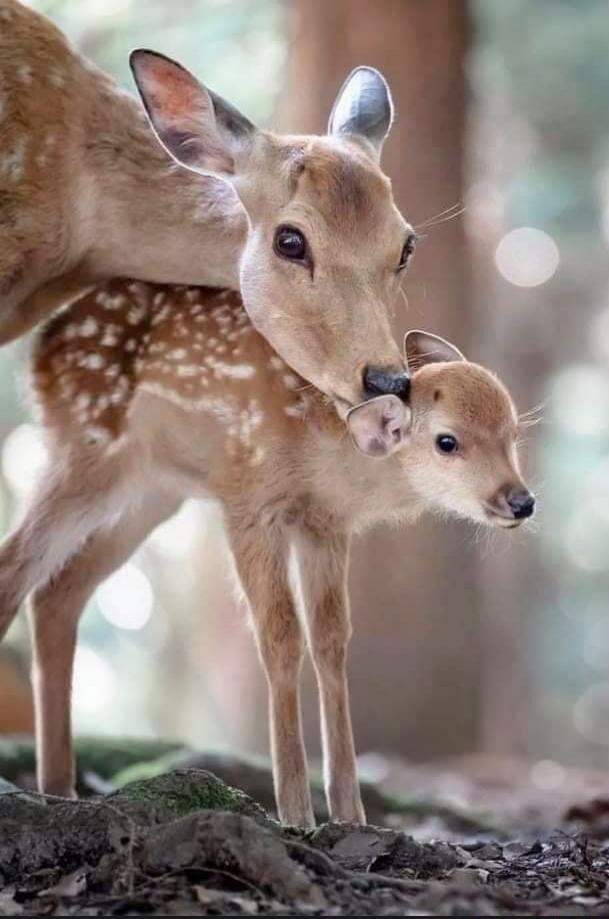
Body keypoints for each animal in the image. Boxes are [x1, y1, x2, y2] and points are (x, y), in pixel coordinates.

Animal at [0, 278, 535, 826]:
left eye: (513, 430)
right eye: (447, 441)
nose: (521, 501)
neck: (325, 448)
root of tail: (42, 344)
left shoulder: (324, 525)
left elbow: (331, 642)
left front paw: (349, 813)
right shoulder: (248, 503)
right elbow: (280, 635)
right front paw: (296, 812)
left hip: (155, 490)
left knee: (58, 591)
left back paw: (60, 786)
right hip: (89, 449)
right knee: (15, 566)